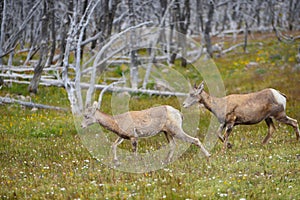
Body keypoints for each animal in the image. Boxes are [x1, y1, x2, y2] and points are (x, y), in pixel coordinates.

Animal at [81, 101, 210, 164]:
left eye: (87, 116)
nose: (81, 126)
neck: (117, 122)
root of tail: (178, 113)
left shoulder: (133, 137)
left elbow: (134, 152)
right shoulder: (122, 137)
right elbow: (113, 145)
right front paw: (116, 162)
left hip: (176, 131)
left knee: (195, 140)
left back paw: (208, 156)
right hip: (166, 132)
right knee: (173, 145)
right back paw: (166, 161)